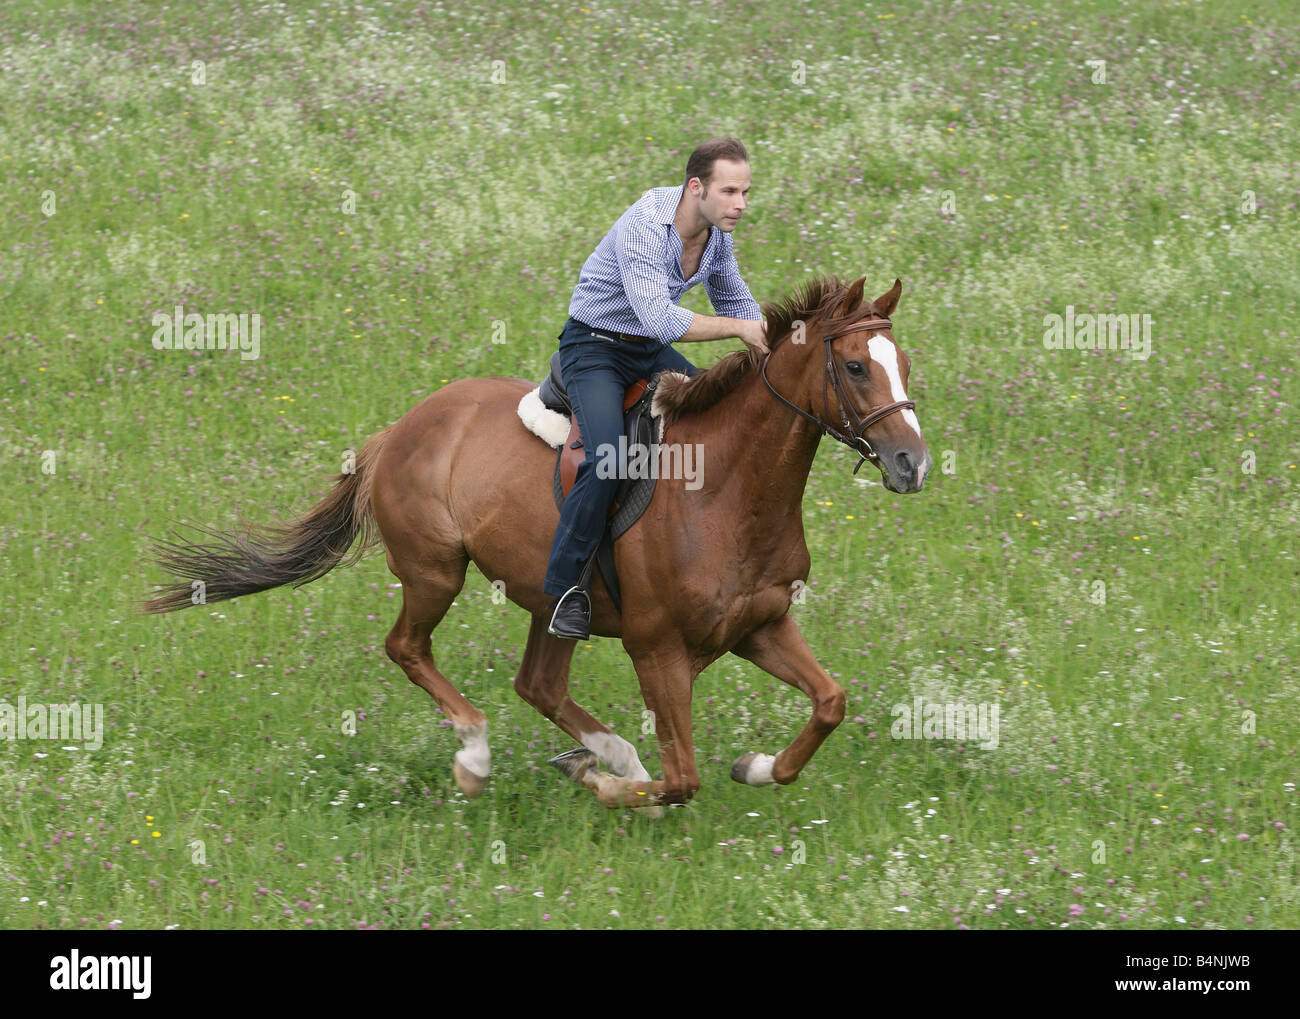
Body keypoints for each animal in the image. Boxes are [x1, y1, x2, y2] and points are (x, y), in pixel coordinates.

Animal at [143, 275, 931, 808]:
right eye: (854, 366)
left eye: (903, 365)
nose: (912, 464)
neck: (728, 492)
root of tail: (395, 432)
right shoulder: (657, 648)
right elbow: (683, 777)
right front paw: (603, 783)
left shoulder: (760, 624)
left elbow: (829, 703)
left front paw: (757, 766)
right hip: (435, 571)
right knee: (408, 648)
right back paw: (480, 756)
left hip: (552, 597)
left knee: (538, 683)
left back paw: (607, 755)